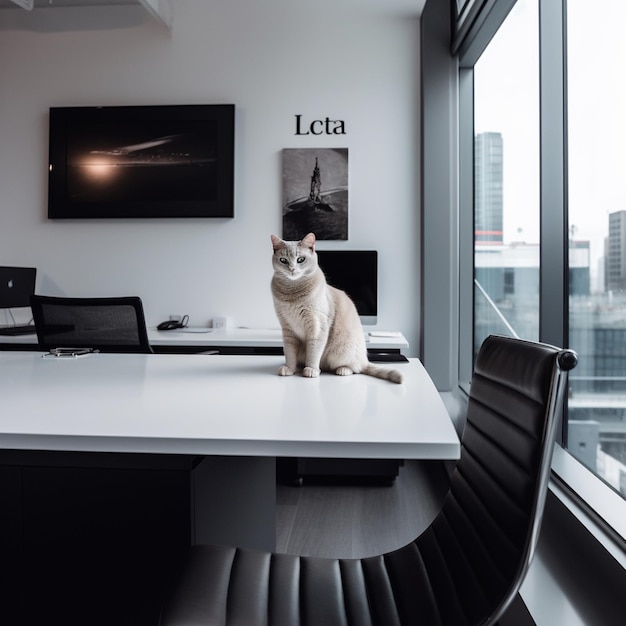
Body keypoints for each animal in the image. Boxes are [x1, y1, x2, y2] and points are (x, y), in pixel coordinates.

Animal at [270, 232, 402, 382]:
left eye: (300, 259)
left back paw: (342, 370)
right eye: (283, 260)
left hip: (341, 352)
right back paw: (300, 367)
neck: (292, 293)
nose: (292, 269)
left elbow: (314, 351)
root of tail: (365, 359)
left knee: (355, 368)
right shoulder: (287, 329)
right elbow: (289, 353)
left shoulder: (317, 326)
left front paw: (311, 370)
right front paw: (289, 368)